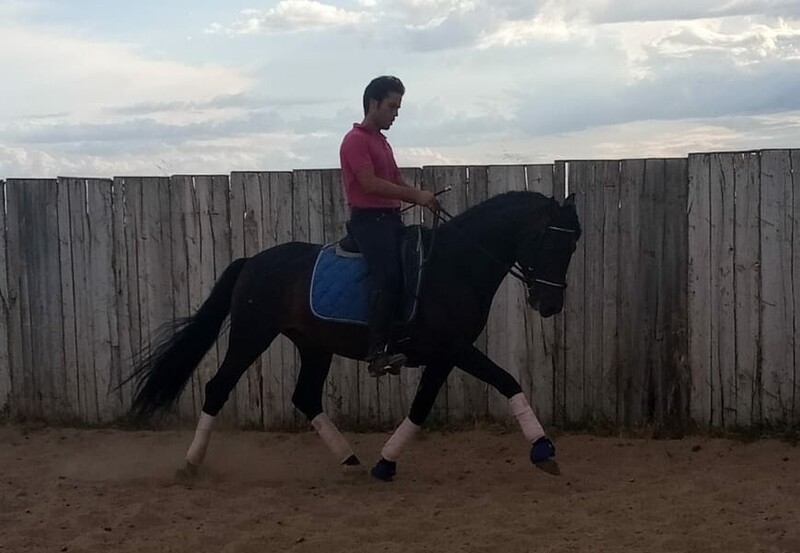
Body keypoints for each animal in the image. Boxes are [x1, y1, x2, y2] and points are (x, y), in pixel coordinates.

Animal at [127, 189, 582, 481]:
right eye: (550, 242)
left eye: (572, 247)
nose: (549, 305)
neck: (456, 263)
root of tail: (253, 261)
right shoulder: (455, 348)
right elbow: (507, 381)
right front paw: (543, 450)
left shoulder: (445, 354)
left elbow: (421, 407)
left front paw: (386, 462)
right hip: (251, 336)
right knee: (218, 387)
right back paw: (191, 463)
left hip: (313, 345)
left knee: (305, 397)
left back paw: (348, 458)